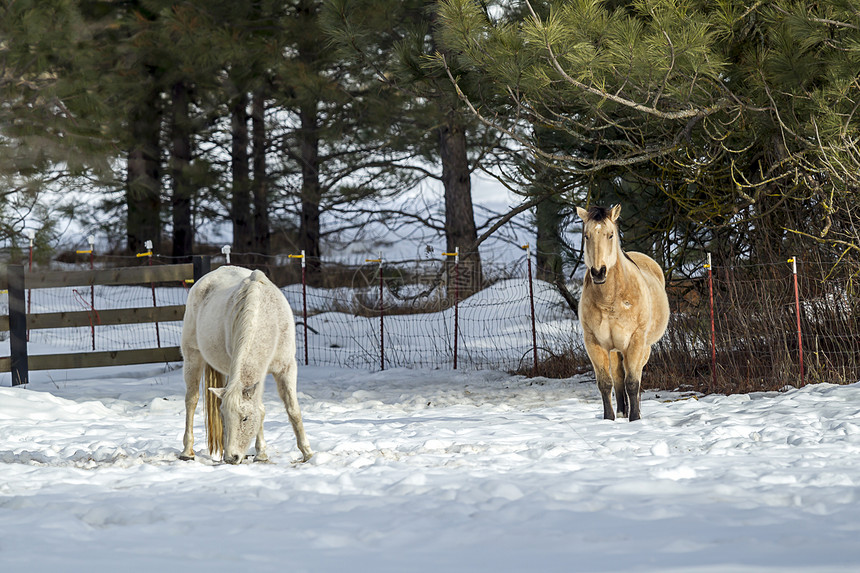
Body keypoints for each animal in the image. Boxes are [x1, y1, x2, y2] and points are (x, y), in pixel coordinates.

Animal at [180, 266, 314, 462]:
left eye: (245, 418)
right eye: (224, 418)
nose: (231, 457)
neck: (265, 318)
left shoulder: (286, 368)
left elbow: (293, 410)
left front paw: (307, 452)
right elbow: (261, 409)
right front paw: (262, 453)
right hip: (192, 357)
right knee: (191, 400)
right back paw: (187, 451)